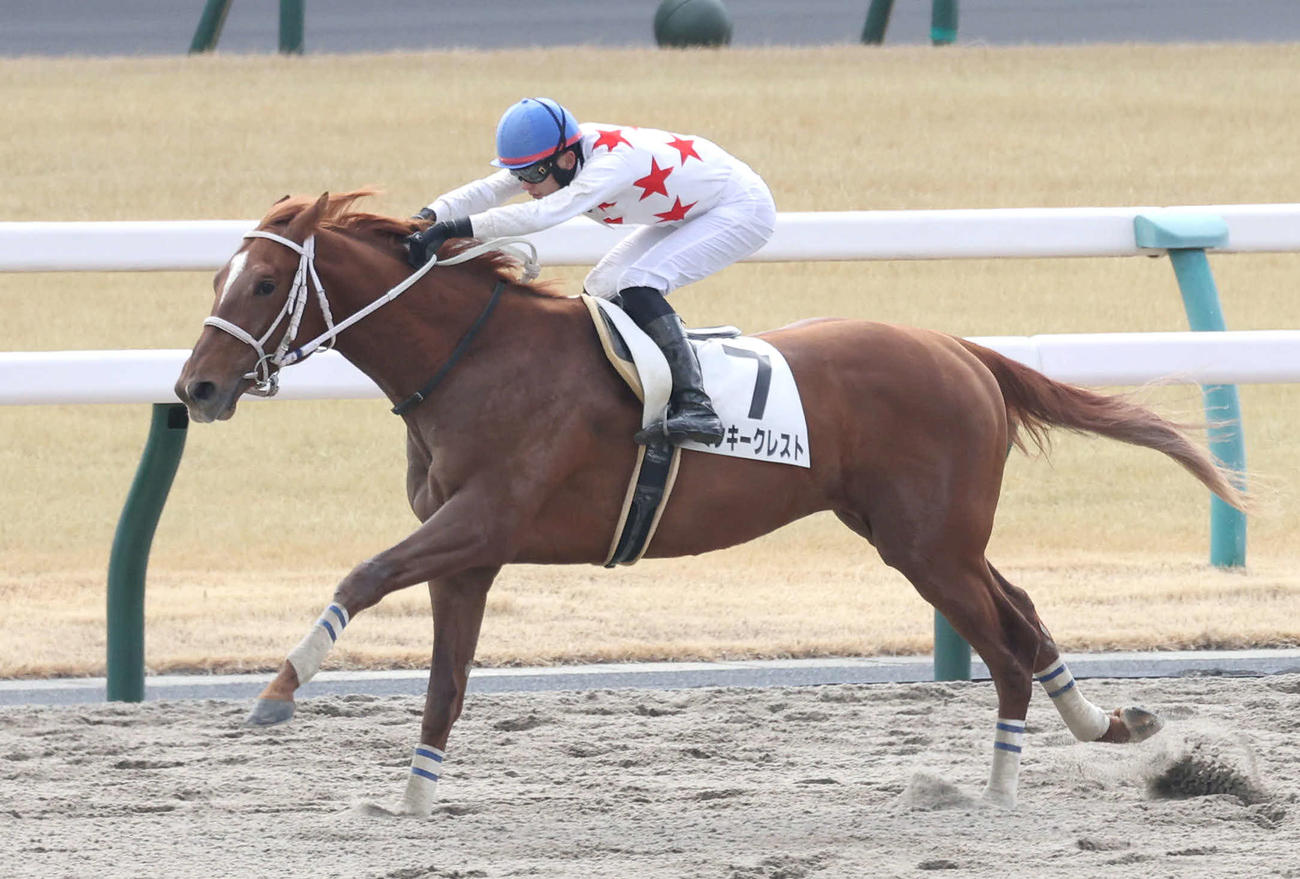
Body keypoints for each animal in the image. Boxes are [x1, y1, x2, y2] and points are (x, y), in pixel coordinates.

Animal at [175, 191, 1246, 816]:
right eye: (220, 275)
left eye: (263, 281)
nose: (196, 388)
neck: (475, 360)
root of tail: (961, 349)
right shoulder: (469, 553)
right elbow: (445, 680)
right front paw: (411, 798)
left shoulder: (480, 521)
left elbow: (365, 572)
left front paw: (279, 689)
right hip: (923, 532)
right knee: (1021, 611)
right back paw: (1106, 723)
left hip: (926, 545)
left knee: (1005, 646)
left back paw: (1000, 784)